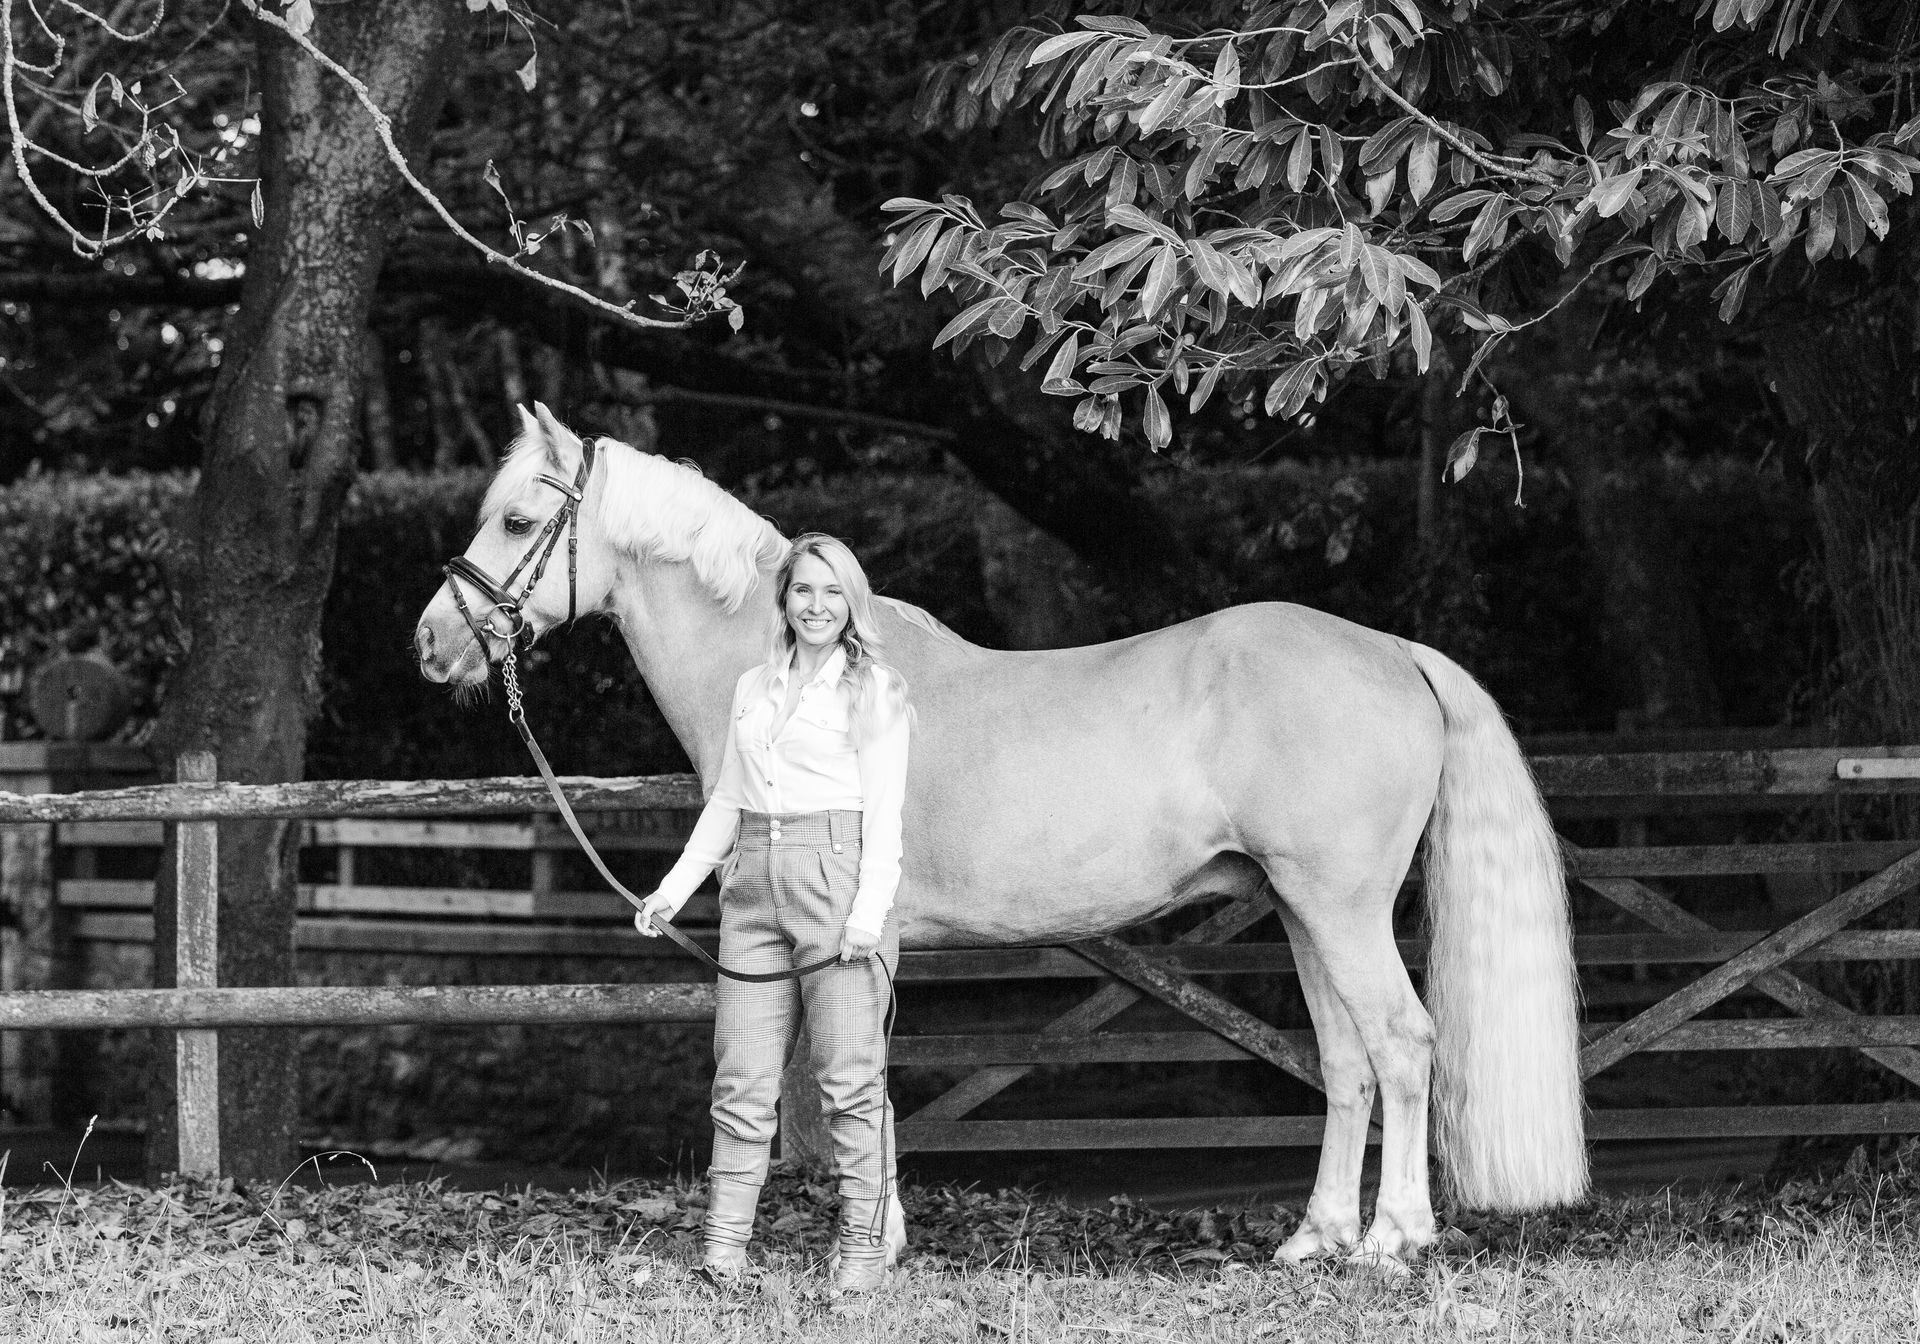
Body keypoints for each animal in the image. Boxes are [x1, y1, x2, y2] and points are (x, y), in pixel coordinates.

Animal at [412, 403, 1586, 1271]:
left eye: (515, 522)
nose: (430, 643)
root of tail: (1393, 650)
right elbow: (870, 1081)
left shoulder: (860, 936)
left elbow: (858, 1080)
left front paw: (874, 1245)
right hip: (1303, 911)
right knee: (1347, 1061)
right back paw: (1316, 1239)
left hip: (1342, 908)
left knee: (1403, 1043)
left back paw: (1394, 1240)